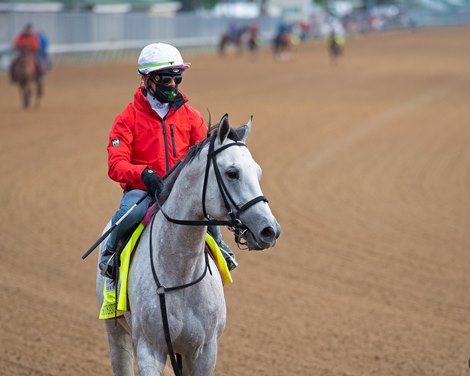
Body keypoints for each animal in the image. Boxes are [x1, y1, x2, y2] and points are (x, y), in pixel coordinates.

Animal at [95, 115, 280, 376]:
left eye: (258, 172)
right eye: (232, 172)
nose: (270, 230)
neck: (181, 274)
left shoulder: (204, 351)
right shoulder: (149, 348)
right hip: (116, 333)